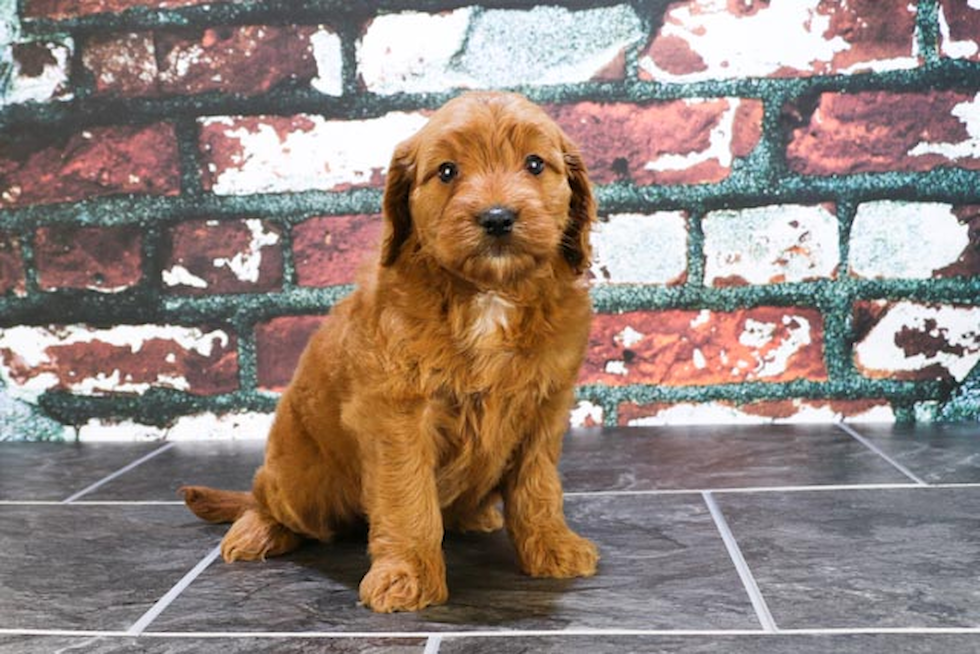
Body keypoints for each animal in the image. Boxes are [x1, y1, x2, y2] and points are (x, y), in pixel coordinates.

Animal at [181, 92, 600, 616]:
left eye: (535, 164)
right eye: (446, 171)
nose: (498, 217)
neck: (486, 296)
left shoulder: (544, 406)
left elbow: (538, 487)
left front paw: (553, 547)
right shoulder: (398, 414)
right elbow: (408, 499)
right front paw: (408, 577)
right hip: (301, 484)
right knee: (269, 500)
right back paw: (256, 530)